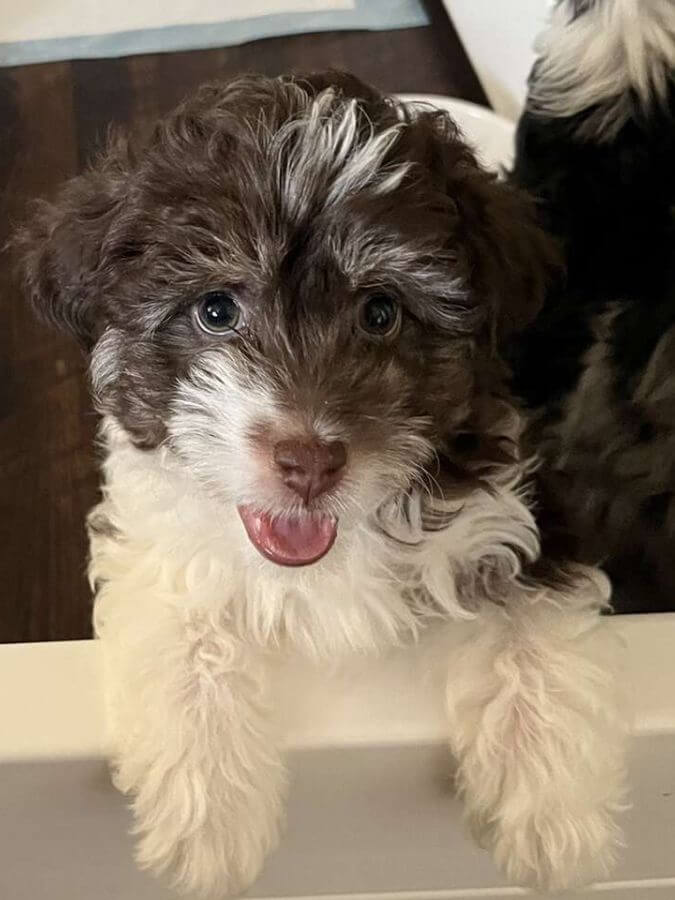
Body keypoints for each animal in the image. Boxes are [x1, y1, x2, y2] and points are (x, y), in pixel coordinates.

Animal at [17, 3, 675, 896]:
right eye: (216, 310)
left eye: (380, 313)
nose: (306, 460)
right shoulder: (157, 525)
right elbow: (185, 621)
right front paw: (209, 824)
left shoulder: (521, 497)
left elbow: (532, 615)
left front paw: (550, 816)